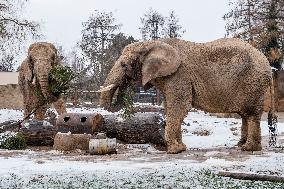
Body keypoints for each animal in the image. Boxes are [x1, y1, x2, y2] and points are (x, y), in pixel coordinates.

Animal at [98, 38, 272, 154]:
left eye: (123, 65)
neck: (152, 44)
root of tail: (267, 63)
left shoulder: (179, 75)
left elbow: (179, 107)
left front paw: (174, 150)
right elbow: (171, 107)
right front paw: (181, 148)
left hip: (253, 82)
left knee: (251, 114)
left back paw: (248, 148)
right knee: (245, 115)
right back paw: (240, 145)